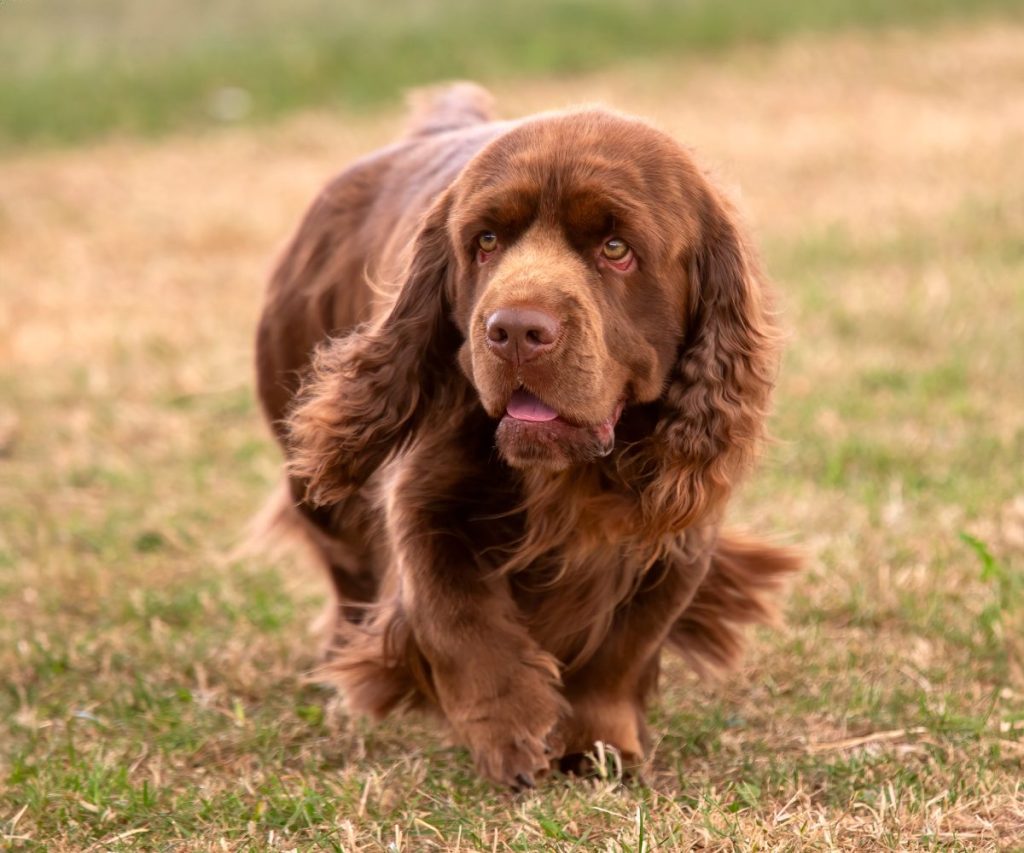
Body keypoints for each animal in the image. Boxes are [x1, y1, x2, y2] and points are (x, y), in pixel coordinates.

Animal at [256, 82, 798, 790]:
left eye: (616, 248)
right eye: (485, 240)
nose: (514, 330)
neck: (572, 470)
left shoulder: (680, 530)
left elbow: (624, 646)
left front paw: (600, 744)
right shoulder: (423, 503)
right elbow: (456, 617)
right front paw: (512, 734)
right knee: (349, 575)